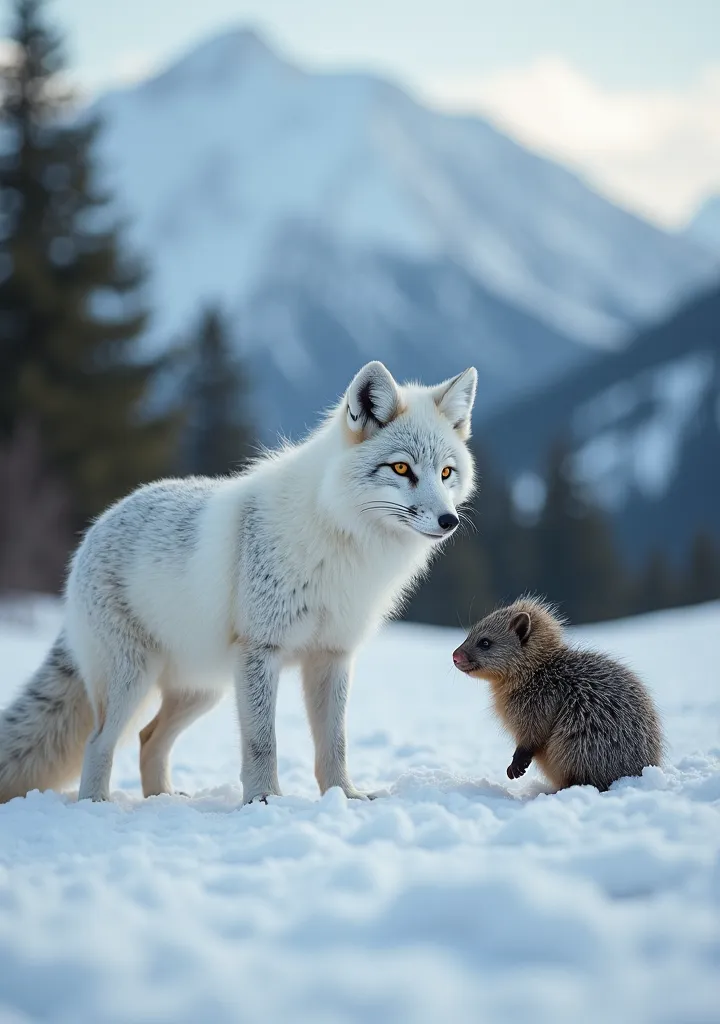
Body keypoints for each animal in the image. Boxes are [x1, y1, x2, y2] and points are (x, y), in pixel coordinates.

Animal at [0, 364, 479, 802]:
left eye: (446, 473)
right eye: (401, 468)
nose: (448, 521)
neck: (342, 541)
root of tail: (98, 525)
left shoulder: (332, 656)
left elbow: (335, 744)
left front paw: (343, 796)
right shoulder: (261, 650)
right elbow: (262, 742)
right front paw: (263, 801)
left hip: (203, 690)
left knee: (148, 739)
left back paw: (162, 798)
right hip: (135, 681)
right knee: (99, 742)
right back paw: (97, 805)